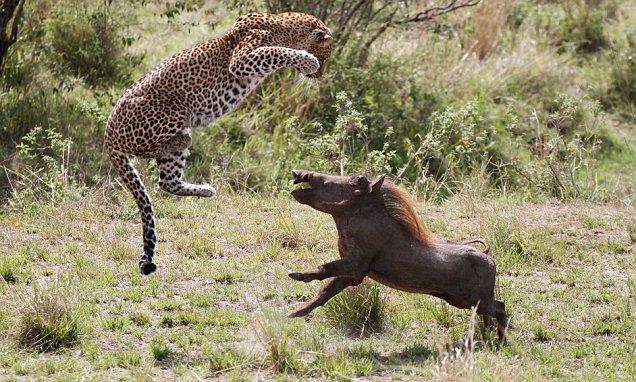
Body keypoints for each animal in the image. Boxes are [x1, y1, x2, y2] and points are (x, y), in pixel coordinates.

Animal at [104, 11, 332, 274]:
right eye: (325, 56)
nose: (319, 75)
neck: (285, 28)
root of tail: (108, 130)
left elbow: (278, 51)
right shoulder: (243, 58)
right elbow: (277, 51)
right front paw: (307, 60)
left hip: (170, 154)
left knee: (167, 182)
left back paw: (206, 189)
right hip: (172, 112)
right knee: (148, 149)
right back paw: (182, 139)